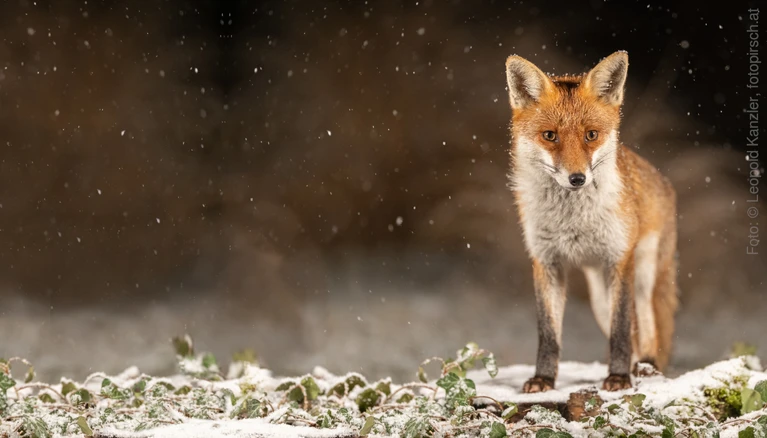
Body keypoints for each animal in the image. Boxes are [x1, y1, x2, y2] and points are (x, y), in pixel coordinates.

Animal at [504, 51, 678, 392]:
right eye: (550, 136)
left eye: (591, 135)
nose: (577, 178)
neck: (572, 222)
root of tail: (663, 180)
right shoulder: (546, 262)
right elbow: (548, 333)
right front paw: (544, 379)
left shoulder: (620, 259)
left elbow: (621, 329)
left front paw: (619, 378)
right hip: (598, 297)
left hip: (643, 277)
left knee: (646, 330)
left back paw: (646, 368)